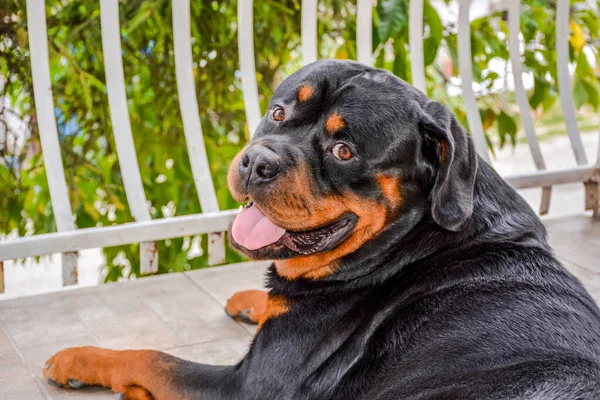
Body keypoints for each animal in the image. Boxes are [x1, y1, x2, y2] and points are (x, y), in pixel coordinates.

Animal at [43, 60, 600, 400]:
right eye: (278, 111)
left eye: (343, 150)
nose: (257, 162)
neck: (406, 247)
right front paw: (254, 299)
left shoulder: (247, 387)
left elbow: (151, 358)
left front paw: (78, 359)